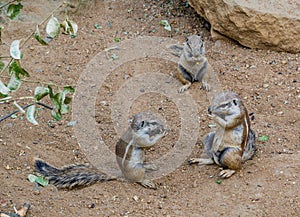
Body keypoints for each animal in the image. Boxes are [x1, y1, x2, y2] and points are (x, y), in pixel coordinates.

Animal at [34, 112, 169, 190]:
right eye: (153, 122)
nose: (164, 126)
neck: (135, 129)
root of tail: (122, 173)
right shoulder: (139, 138)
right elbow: (148, 143)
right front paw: (162, 133)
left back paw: (150, 166)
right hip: (137, 170)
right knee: (137, 179)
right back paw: (146, 181)